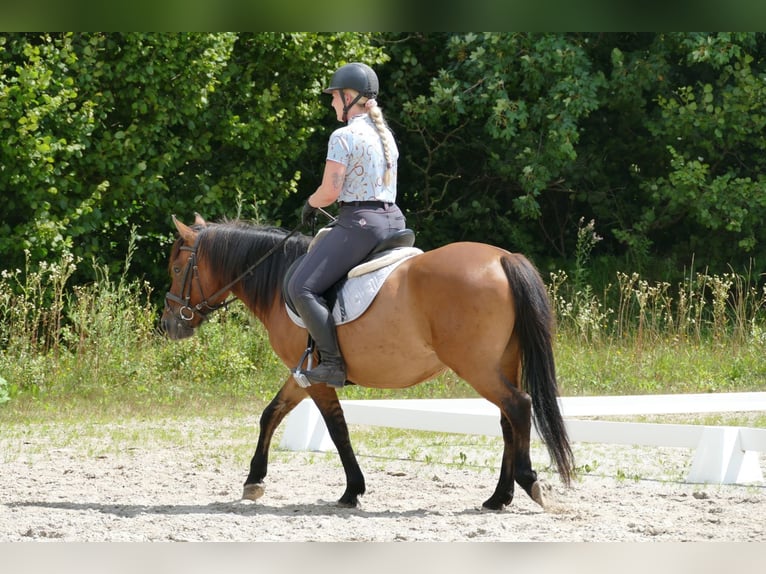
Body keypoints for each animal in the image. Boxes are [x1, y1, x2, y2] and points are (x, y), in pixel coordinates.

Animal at [162, 214, 576, 510]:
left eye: (178, 269)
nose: (169, 324)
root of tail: (503, 257)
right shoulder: (301, 373)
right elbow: (272, 413)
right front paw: (254, 481)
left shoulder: (318, 377)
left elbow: (337, 429)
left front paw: (351, 491)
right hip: (502, 363)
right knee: (508, 421)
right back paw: (497, 498)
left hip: (478, 368)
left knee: (518, 407)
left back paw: (527, 482)